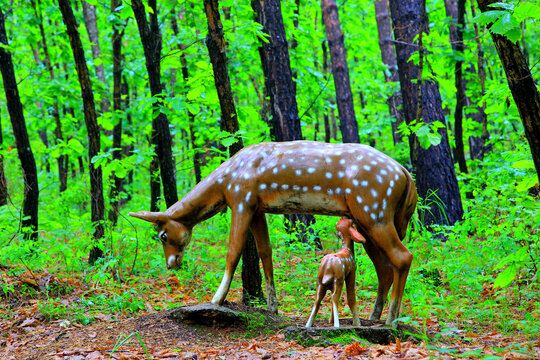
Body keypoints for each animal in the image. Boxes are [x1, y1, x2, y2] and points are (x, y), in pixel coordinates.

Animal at [131, 141, 418, 326]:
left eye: (162, 235)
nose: (171, 263)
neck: (225, 183)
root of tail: (406, 176)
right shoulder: (257, 208)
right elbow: (265, 252)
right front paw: (273, 307)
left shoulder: (241, 198)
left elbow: (233, 251)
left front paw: (216, 299)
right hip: (368, 219)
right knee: (385, 267)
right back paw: (374, 317)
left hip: (373, 209)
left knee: (402, 257)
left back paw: (391, 321)